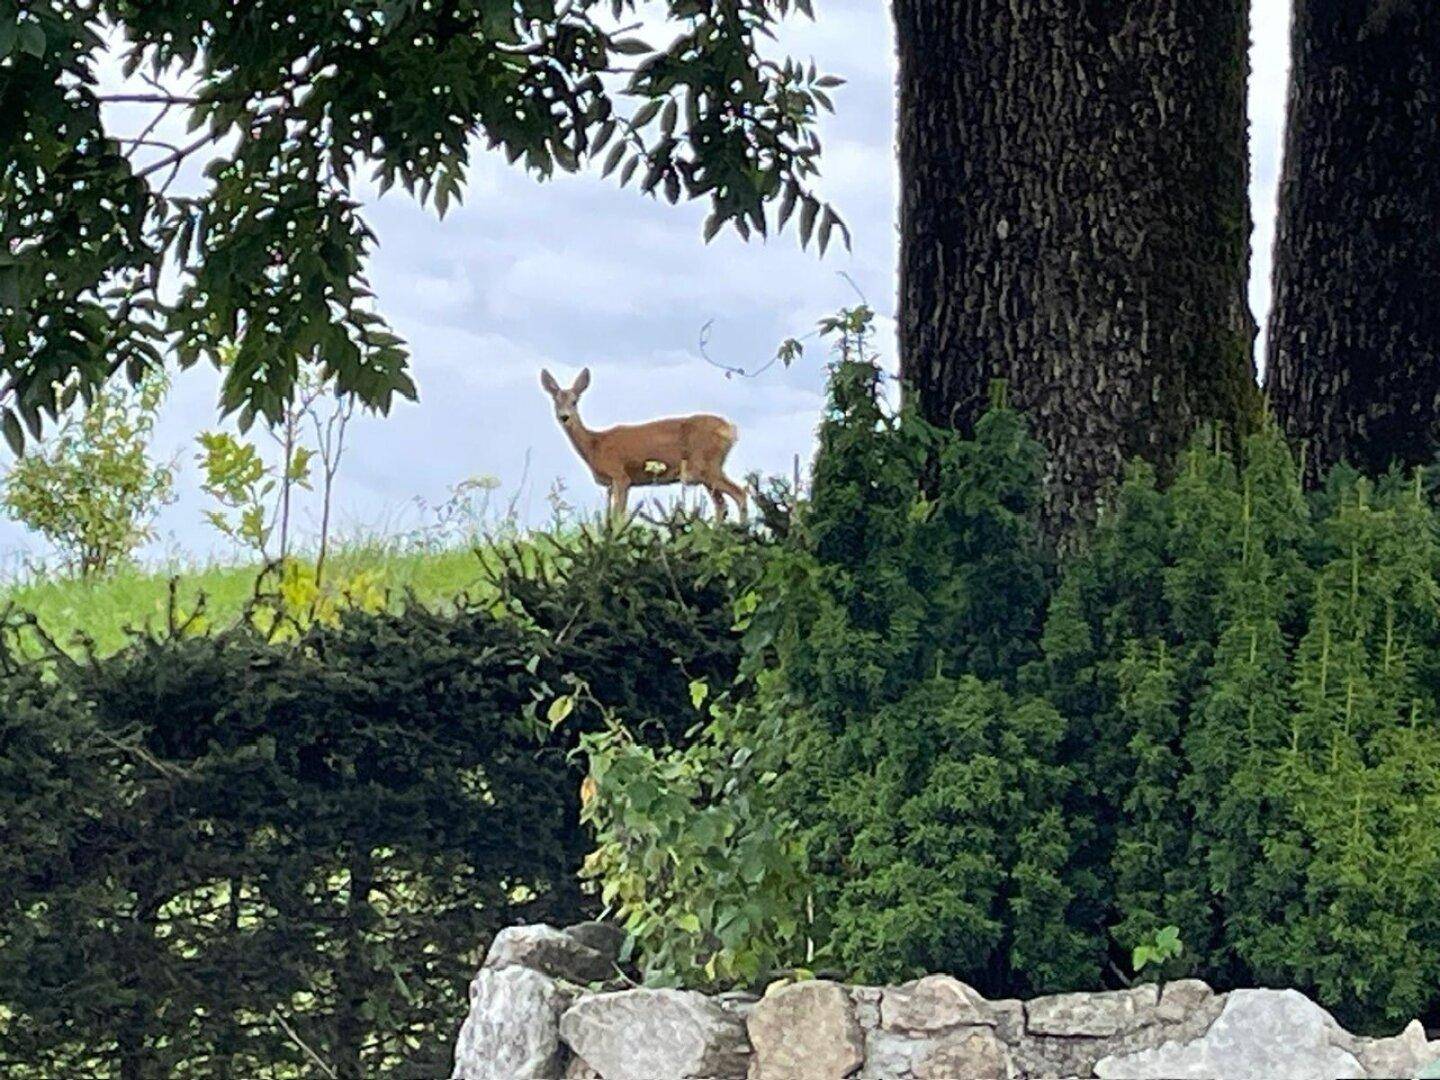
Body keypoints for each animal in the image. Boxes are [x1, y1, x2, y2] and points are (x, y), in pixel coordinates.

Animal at [540, 367, 748, 524]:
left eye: (574, 402)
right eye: (555, 401)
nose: (564, 417)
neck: (594, 445)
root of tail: (730, 429)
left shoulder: (620, 476)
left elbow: (618, 517)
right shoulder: (611, 485)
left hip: (706, 465)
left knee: (740, 494)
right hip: (706, 472)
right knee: (721, 504)